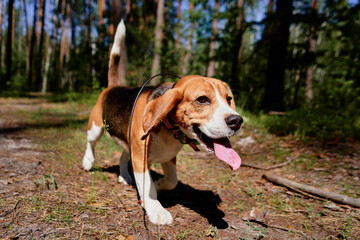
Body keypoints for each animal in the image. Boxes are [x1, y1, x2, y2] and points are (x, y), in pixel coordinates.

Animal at [83, 20, 243, 225]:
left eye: (228, 99)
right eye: (202, 100)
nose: (237, 121)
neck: (169, 128)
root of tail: (113, 87)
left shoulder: (168, 157)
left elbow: (172, 181)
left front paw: (159, 184)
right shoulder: (140, 158)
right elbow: (148, 187)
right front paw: (156, 210)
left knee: (123, 155)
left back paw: (125, 176)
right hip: (96, 127)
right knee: (91, 143)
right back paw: (88, 161)